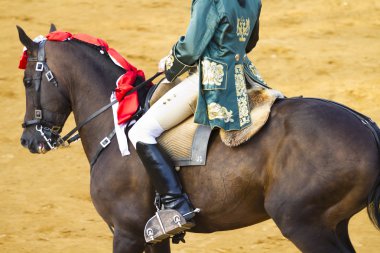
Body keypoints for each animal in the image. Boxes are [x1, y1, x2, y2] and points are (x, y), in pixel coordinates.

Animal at [17, 24, 380, 253]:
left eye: (27, 80)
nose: (29, 140)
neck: (114, 123)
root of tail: (366, 126)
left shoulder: (126, 233)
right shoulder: (153, 237)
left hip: (303, 223)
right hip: (333, 223)